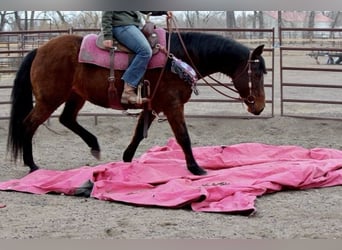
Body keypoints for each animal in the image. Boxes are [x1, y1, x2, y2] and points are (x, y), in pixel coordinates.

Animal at [6, 29, 268, 176]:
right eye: (256, 73)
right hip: (49, 99)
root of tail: (39, 50)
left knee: (67, 119)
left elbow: (138, 134)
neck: (178, 57)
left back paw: (94, 146)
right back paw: (32, 165)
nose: (260, 106)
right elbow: (183, 137)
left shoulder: (153, 106)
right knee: (29, 124)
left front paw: (126, 159)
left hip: (75, 96)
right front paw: (196, 167)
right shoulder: (172, 106)